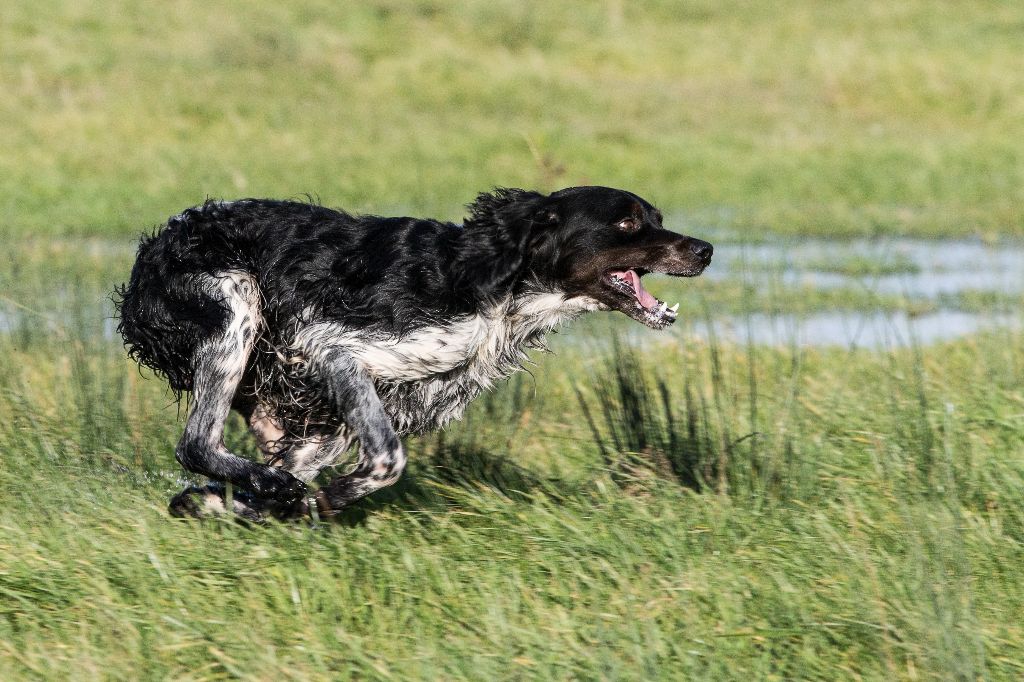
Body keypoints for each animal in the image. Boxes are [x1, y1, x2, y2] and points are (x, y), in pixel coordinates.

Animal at [116, 183, 712, 518]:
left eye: (656, 218)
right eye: (627, 222)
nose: (705, 249)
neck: (496, 282)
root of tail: (154, 247)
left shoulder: (333, 416)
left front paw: (221, 502)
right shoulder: (334, 350)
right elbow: (388, 458)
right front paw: (329, 497)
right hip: (236, 306)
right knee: (196, 442)